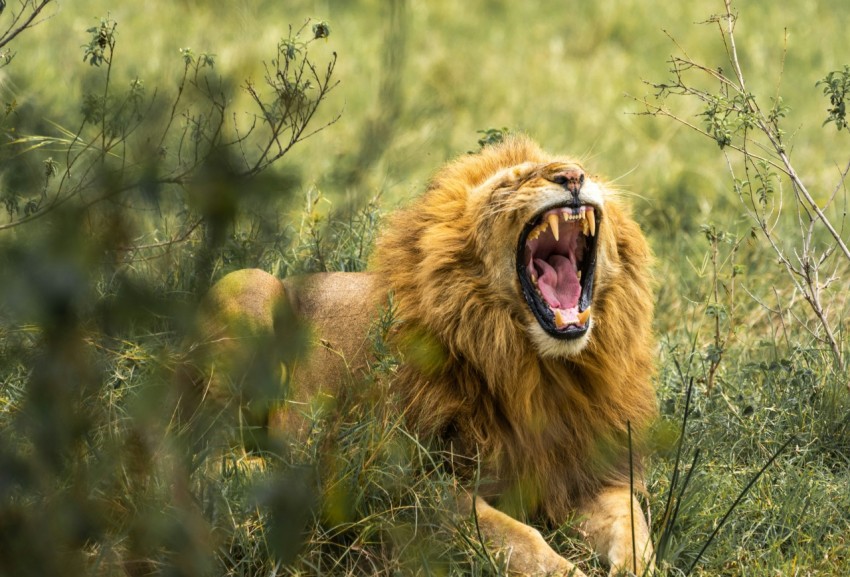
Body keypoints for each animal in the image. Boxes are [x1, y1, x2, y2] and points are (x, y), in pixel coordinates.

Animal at [190, 136, 656, 576]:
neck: (536, 369)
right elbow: (517, 537)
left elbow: (634, 530)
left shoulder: (592, 473)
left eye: (583, 169)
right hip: (249, 286)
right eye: (512, 182)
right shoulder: (412, 484)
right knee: (203, 455)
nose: (573, 177)